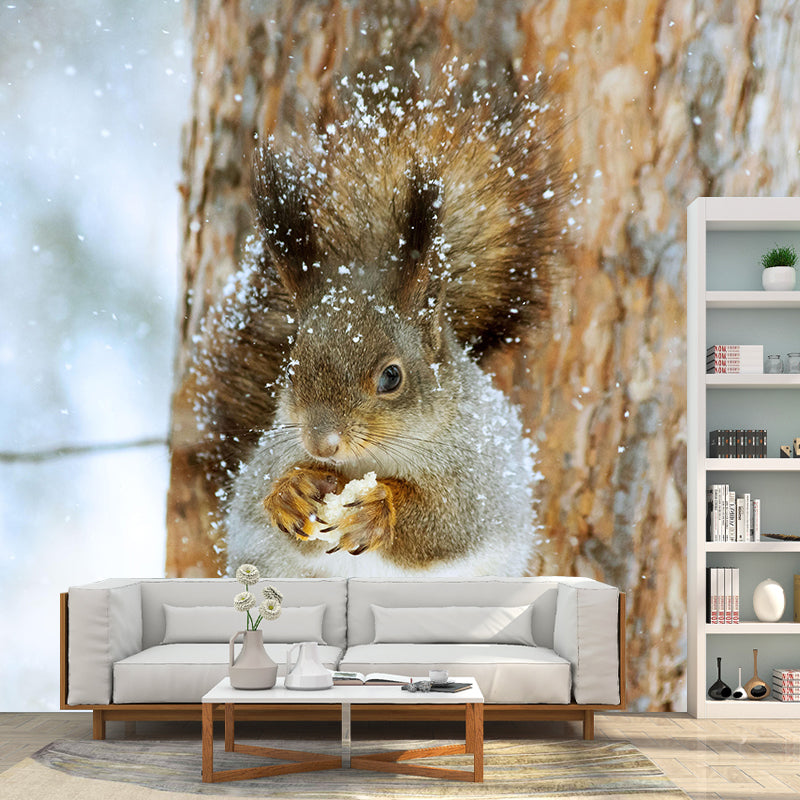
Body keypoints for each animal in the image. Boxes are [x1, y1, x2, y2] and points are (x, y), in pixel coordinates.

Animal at [191, 63, 567, 578]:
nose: (321, 445)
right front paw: (290, 491)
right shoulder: (267, 460)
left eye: (392, 377)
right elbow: (254, 500)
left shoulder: (479, 480)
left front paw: (378, 509)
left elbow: (445, 524)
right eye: (290, 367)